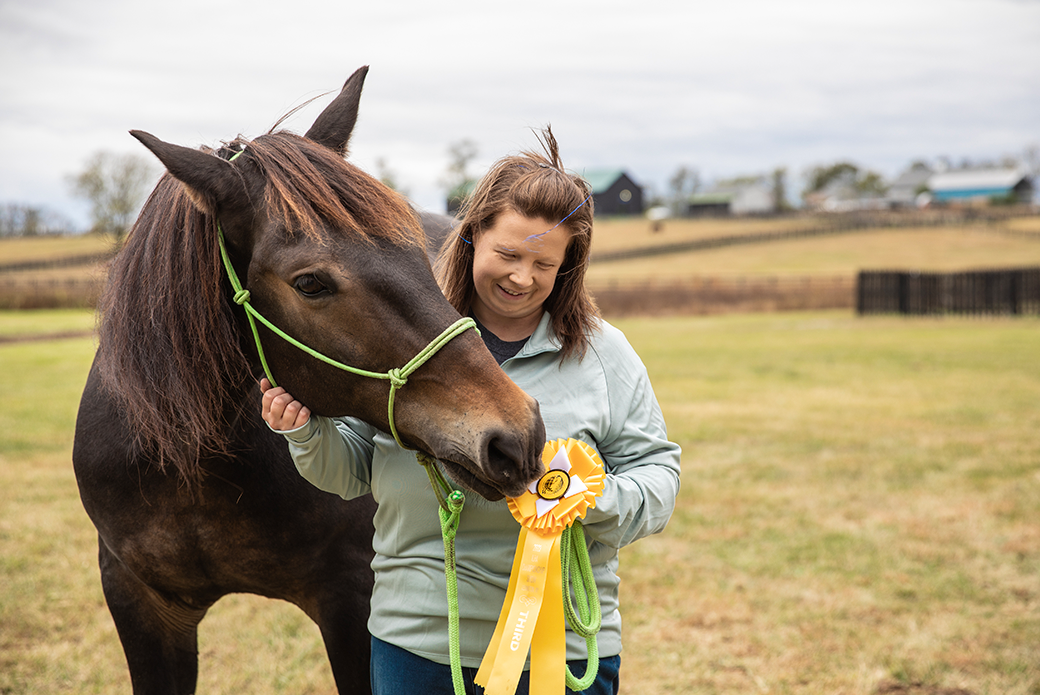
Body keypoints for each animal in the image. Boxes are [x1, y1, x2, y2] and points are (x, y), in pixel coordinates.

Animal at [72, 66, 544, 695]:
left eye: (420, 251)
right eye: (311, 283)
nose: (515, 434)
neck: (192, 462)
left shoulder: (353, 600)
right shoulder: (139, 600)